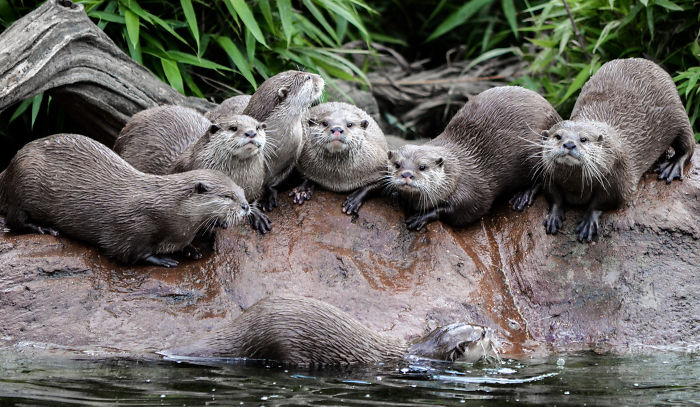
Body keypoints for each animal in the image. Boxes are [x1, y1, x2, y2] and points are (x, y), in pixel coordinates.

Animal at [0, 134, 249, 267]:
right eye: (227, 196)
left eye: (242, 191)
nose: (246, 207)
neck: (168, 210)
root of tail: (9, 167)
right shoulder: (131, 225)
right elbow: (125, 251)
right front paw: (162, 259)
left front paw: (191, 250)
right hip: (23, 181)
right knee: (15, 220)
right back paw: (44, 228)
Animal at [114, 105, 271, 233]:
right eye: (233, 128)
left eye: (257, 127)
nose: (251, 133)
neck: (236, 178)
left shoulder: (255, 184)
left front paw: (257, 215)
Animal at [387, 86, 562, 230]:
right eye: (397, 165)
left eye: (422, 167)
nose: (407, 174)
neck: (457, 171)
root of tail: (556, 115)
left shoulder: (471, 192)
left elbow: (461, 211)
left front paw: (421, 217)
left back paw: (523, 195)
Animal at [541, 58, 696, 242]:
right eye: (558, 136)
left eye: (583, 139)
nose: (569, 144)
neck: (576, 186)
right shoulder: (547, 174)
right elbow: (554, 195)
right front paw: (554, 216)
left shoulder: (619, 178)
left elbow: (604, 202)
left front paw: (588, 222)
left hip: (677, 111)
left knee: (688, 143)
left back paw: (672, 166)